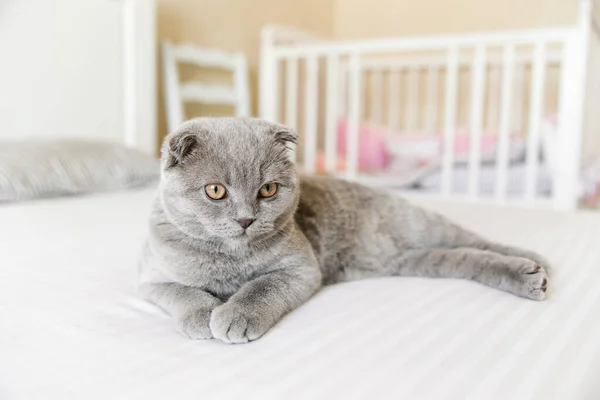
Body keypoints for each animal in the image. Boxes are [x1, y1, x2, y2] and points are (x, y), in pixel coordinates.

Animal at [138, 115, 552, 344]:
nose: (245, 219)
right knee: (464, 257)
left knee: (474, 240)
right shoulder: (151, 278)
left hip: (423, 226)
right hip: (418, 260)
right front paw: (201, 318)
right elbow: (182, 292)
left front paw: (234, 315)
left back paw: (534, 263)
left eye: (268, 190)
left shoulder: (301, 269)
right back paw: (529, 275)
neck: (230, 259)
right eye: (215, 191)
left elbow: (260, 287)